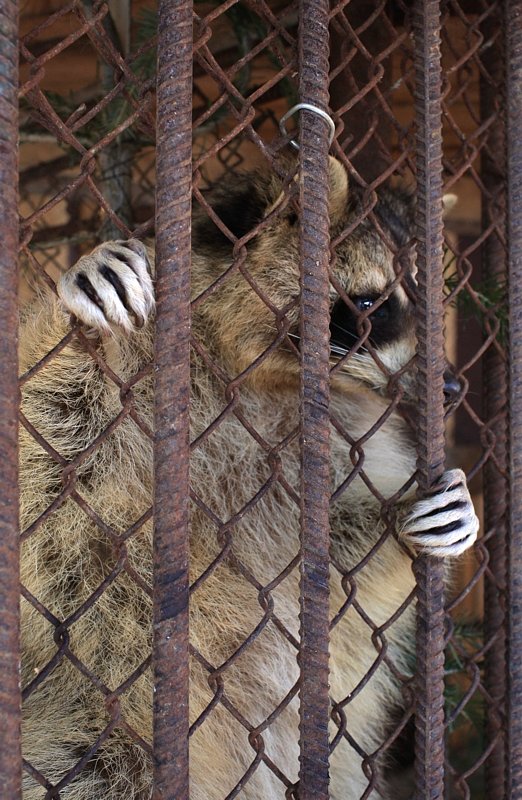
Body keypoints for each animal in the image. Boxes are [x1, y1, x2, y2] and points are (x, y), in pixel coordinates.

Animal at [19, 158, 476, 800]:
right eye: (371, 303)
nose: (453, 388)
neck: (263, 376)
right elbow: (39, 435)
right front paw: (81, 306)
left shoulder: (345, 440)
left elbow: (352, 572)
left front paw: (407, 523)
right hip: (91, 722)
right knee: (79, 768)